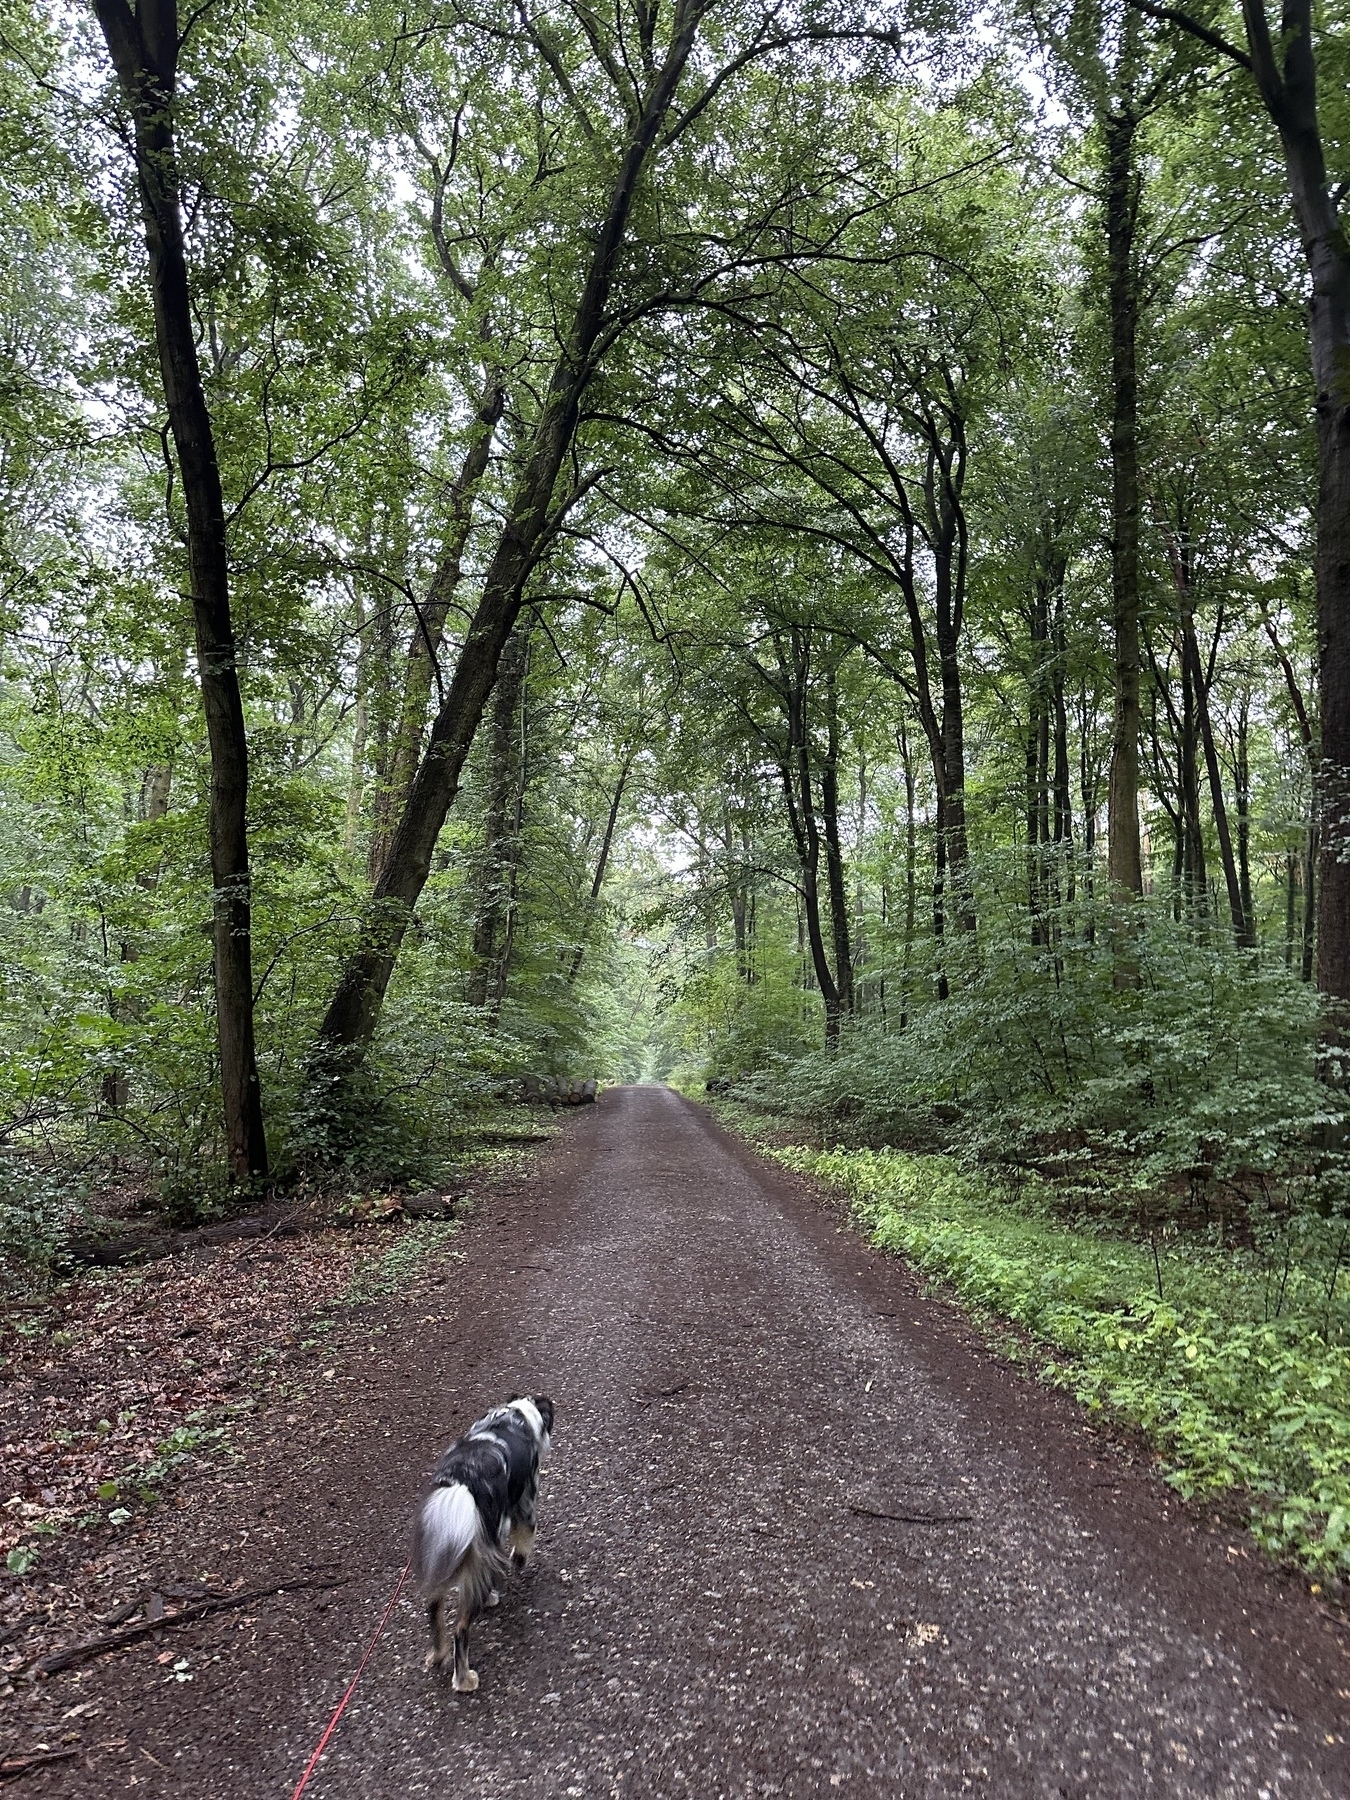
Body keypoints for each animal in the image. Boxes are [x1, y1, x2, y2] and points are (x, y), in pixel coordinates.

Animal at [415, 1389, 558, 1684]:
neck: (512, 1417)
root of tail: (463, 1482)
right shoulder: (525, 1506)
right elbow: (523, 1545)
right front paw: (517, 1564)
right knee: (460, 1629)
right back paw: (465, 1680)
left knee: (434, 1611)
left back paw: (437, 1656)